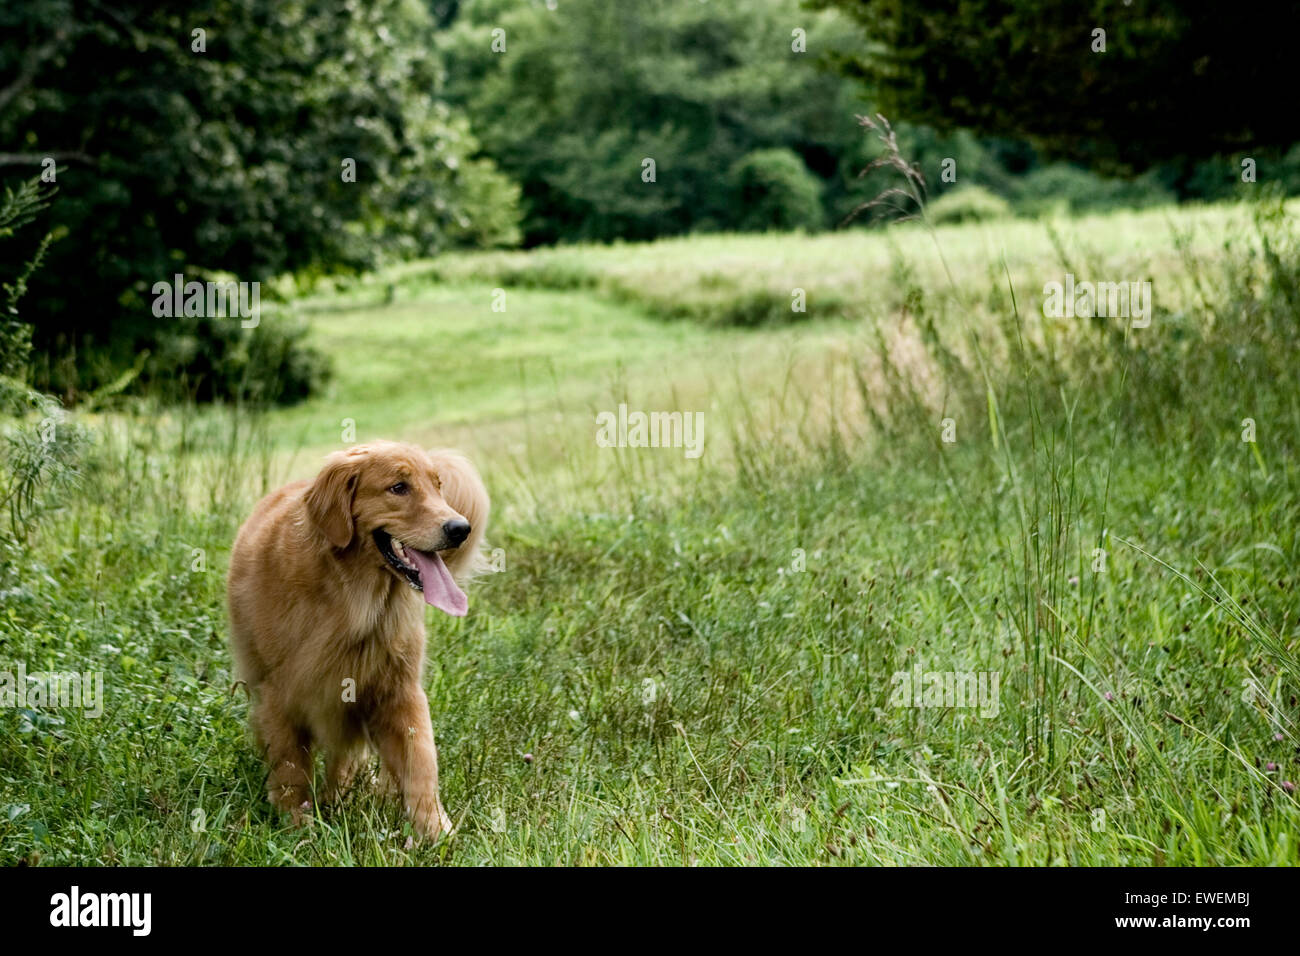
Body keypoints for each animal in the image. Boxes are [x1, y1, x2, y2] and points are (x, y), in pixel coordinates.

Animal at [226, 442, 488, 837]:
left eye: (438, 486)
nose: (461, 529)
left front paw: (435, 831)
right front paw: (296, 823)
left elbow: (420, 763)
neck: (353, 602)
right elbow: (290, 765)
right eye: (398, 487)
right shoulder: (280, 692)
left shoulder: (398, 691)